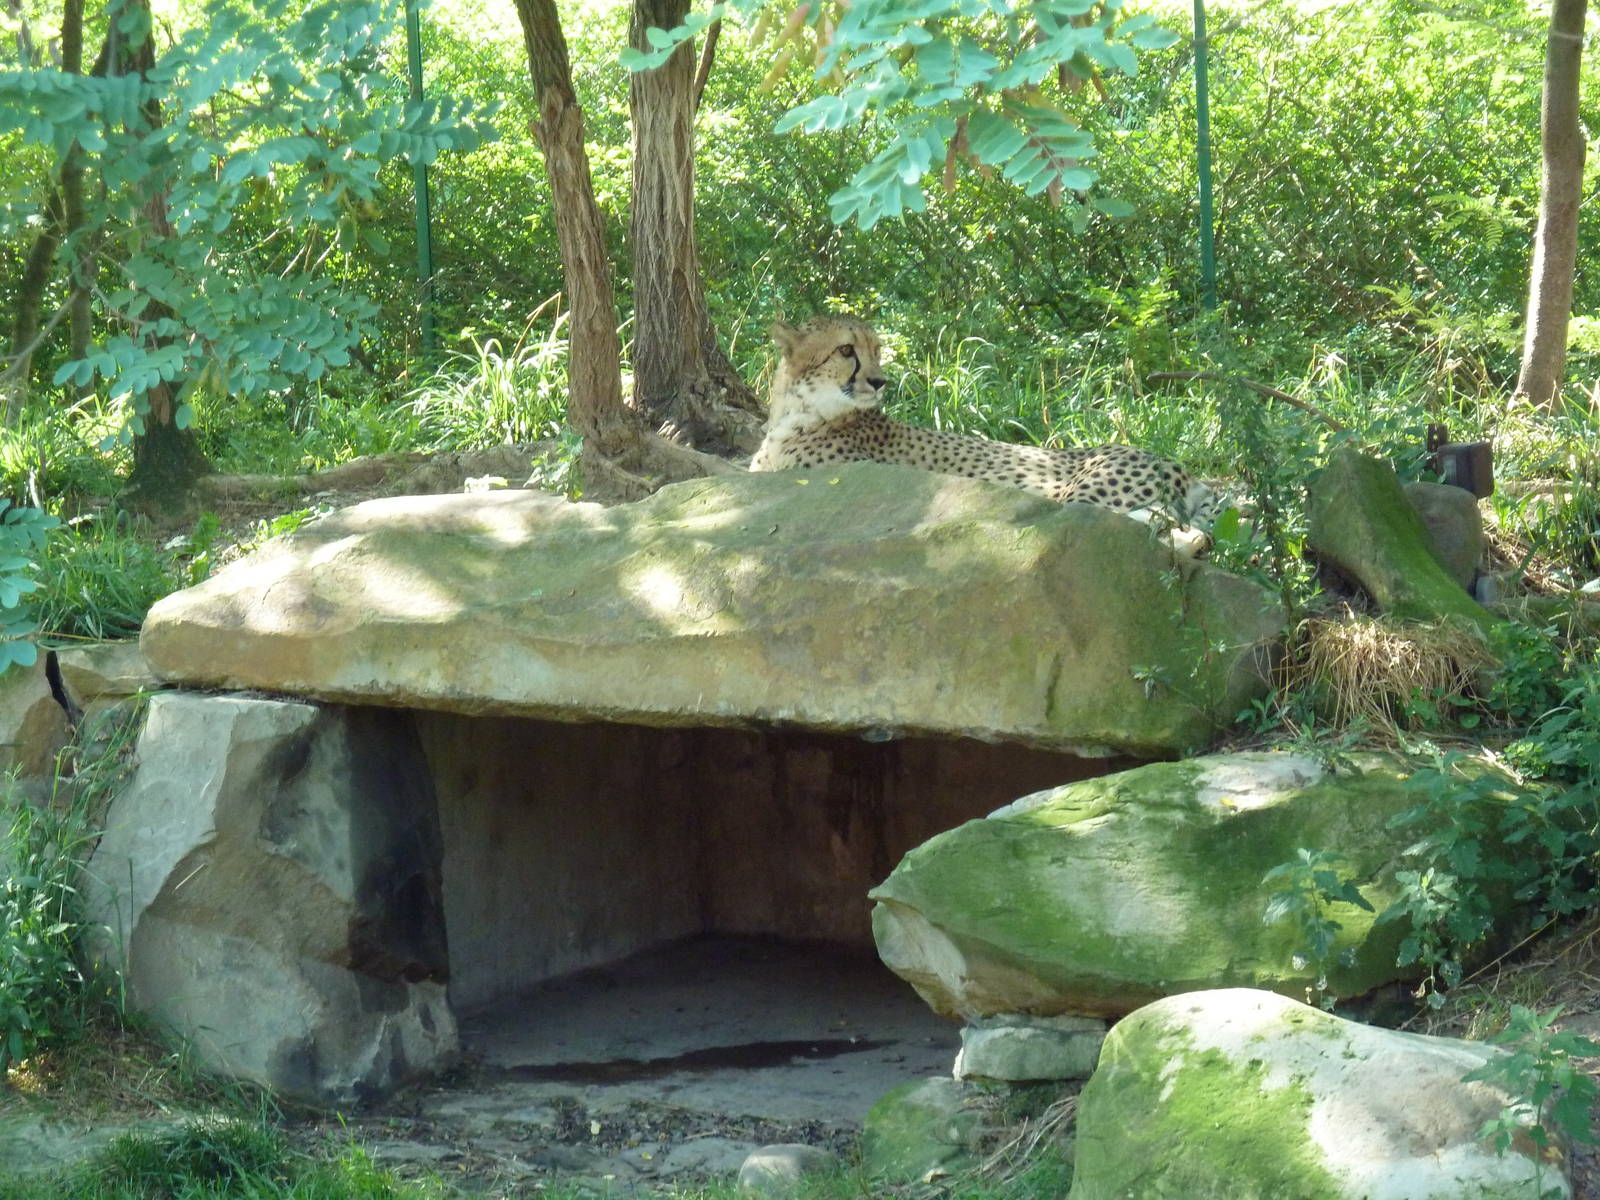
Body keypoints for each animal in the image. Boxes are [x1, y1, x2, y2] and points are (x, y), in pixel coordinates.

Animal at [750, 315, 1221, 544]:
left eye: (876, 349)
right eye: (847, 350)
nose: (881, 381)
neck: (798, 414)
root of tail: (1181, 467)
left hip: (1078, 494)